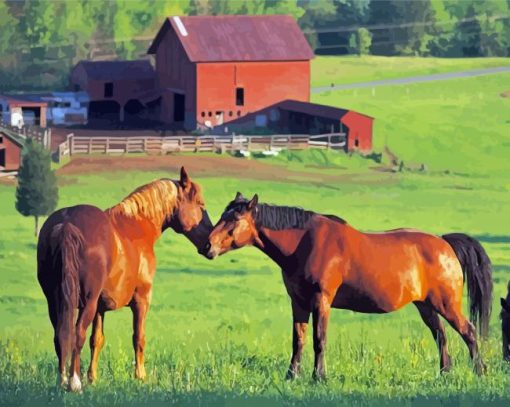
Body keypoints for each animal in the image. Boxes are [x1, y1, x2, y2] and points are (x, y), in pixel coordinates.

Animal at [36, 168, 211, 392]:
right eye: (200, 204)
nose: (209, 243)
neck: (137, 226)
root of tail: (66, 224)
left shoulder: (100, 308)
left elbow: (97, 340)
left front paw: (92, 378)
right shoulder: (141, 300)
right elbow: (138, 338)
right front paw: (140, 376)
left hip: (55, 302)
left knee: (61, 335)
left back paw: (62, 380)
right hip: (86, 303)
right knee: (77, 334)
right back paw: (74, 382)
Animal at [205, 194, 492, 380]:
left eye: (234, 220)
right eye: (222, 215)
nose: (207, 245)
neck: (305, 242)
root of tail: (445, 243)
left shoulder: (321, 300)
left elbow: (319, 339)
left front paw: (319, 377)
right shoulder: (298, 302)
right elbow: (298, 340)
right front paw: (291, 376)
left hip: (446, 304)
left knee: (469, 332)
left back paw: (479, 371)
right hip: (426, 306)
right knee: (441, 336)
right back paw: (444, 373)